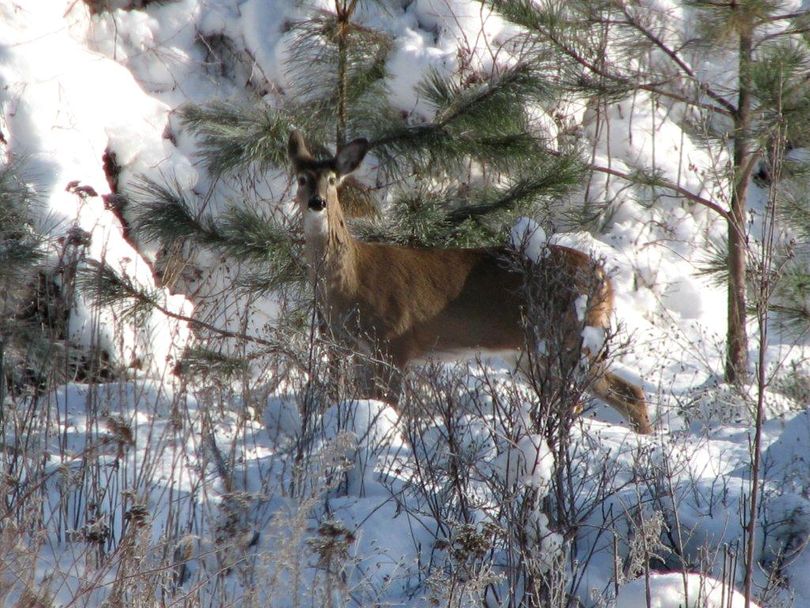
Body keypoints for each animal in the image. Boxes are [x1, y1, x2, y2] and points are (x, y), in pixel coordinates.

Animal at [288, 131, 652, 434]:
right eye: (302, 178)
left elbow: (389, 405)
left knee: (626, 392)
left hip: (569, 336)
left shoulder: (395, 341)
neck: (351, 281)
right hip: (530, 351)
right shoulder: (350, 348)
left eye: (332, 179)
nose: (317, 202)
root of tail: (605, 280)